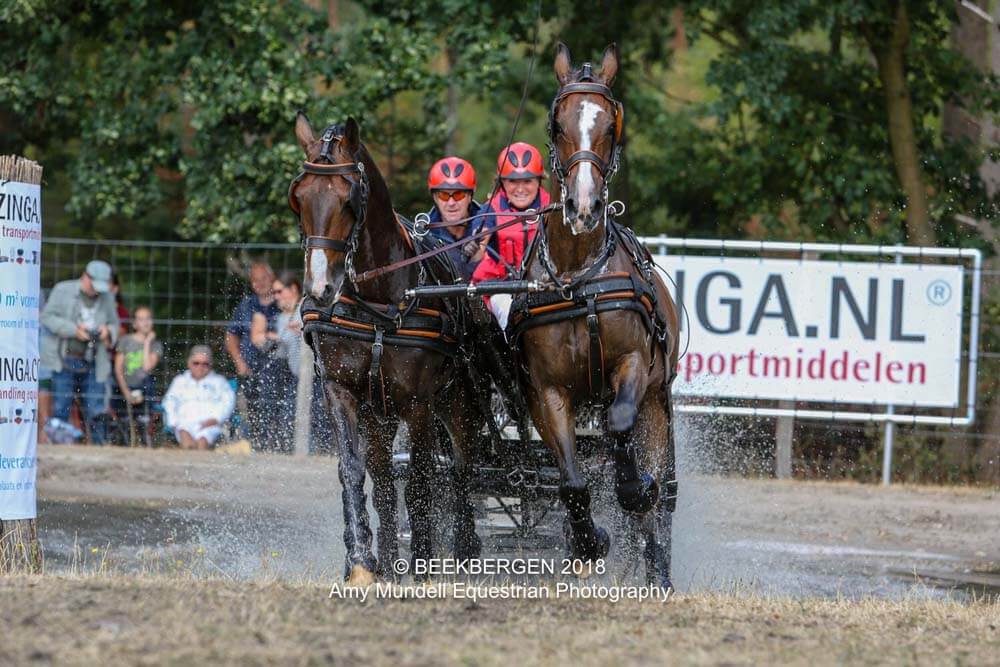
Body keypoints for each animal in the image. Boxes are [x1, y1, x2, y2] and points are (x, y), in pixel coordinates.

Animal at [290, 113, 484, 584]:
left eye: (349, 201)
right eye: (298, 199)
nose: (320, 290)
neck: (378, 303)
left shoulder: (418, 402)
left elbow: (419, 480)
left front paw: (424, 563)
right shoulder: (341, 391)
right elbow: (353, 470)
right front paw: (361, 560)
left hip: (456, 403)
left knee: (463, 471)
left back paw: (464, 552)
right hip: (380, 415)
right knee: (382, 479)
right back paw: (392, 562)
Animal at [512, 44, 684, 588]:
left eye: (610, 124)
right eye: (557, 122)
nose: (583, 206)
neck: (578, 278)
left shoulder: (632, 367)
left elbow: (620, 426)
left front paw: (634, 490)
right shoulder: (546, 392)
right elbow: (570, 480)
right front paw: (590, 540)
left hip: (659, 401)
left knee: (658, 487)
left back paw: (656, 562)